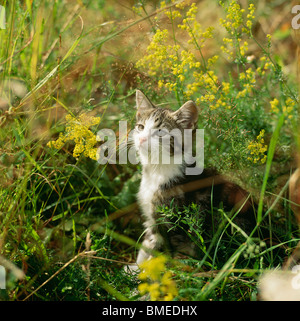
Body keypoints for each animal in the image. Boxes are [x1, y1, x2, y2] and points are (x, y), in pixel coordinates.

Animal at [129, 89, 255, 268]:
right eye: (140, 127)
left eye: (160, 132)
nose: (141, 139)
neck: (156, 170)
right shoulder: (152, 219)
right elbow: (147, 244)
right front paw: (134, 268)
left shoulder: (170, 223)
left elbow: (158, 252)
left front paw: (142, 273)